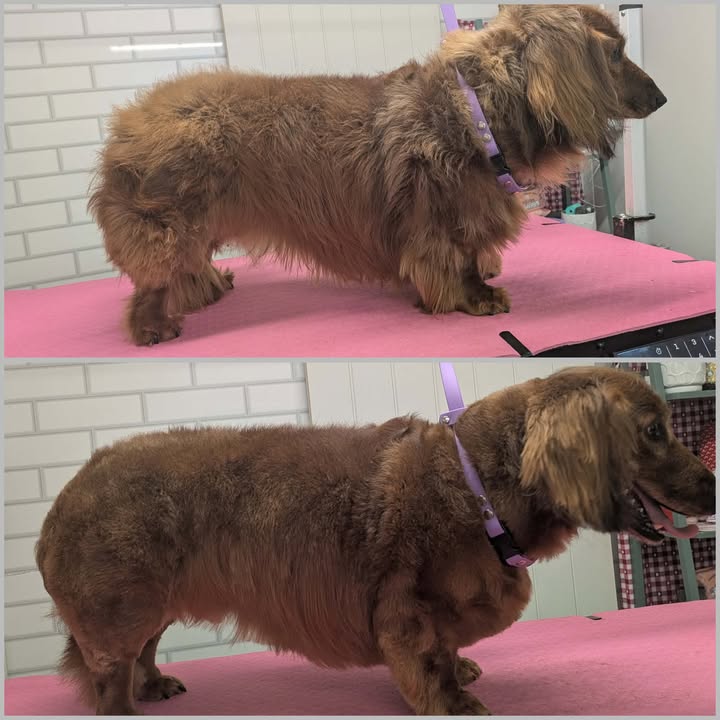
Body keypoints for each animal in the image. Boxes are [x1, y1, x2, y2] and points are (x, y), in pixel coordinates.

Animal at [36, 366, 714, 715]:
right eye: (654, 430)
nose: (714, 483)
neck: (479, 482)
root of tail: (68, 492)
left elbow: (447, 651)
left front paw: (462, 672)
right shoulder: (408, 608)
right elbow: (427, 660)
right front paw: (452, 700)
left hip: (152, 602)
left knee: (144, 649)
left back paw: (153, 684)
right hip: (124, 604)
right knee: (112, 669)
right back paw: (124, 705)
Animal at [88, 5, 666, 345]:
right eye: (616, 53)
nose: (662, 98)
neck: (477, 107)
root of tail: (127, 123)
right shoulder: (440, 218)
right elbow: (455, 261)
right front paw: (475, 298)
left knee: (189, 265)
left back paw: (208, 286)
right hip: (167, 224)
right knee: (155, 282)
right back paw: (155, 325)